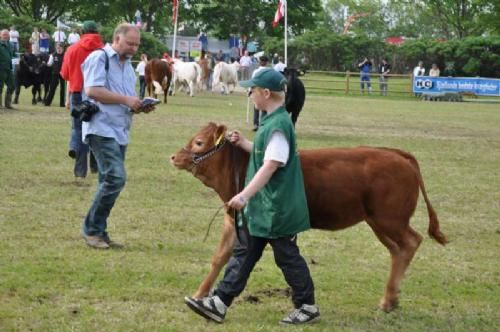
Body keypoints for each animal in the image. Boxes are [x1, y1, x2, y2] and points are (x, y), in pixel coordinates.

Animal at [170, 122, 448, 312]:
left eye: (199, 142)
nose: (174, 156)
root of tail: (399, 155)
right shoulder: (232, 219)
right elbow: (219, 259)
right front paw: (199, 294)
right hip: (378, 222)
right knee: (397, 251)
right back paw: (392, 298)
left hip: (390, 219)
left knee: (411, 243)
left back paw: (388, 299)